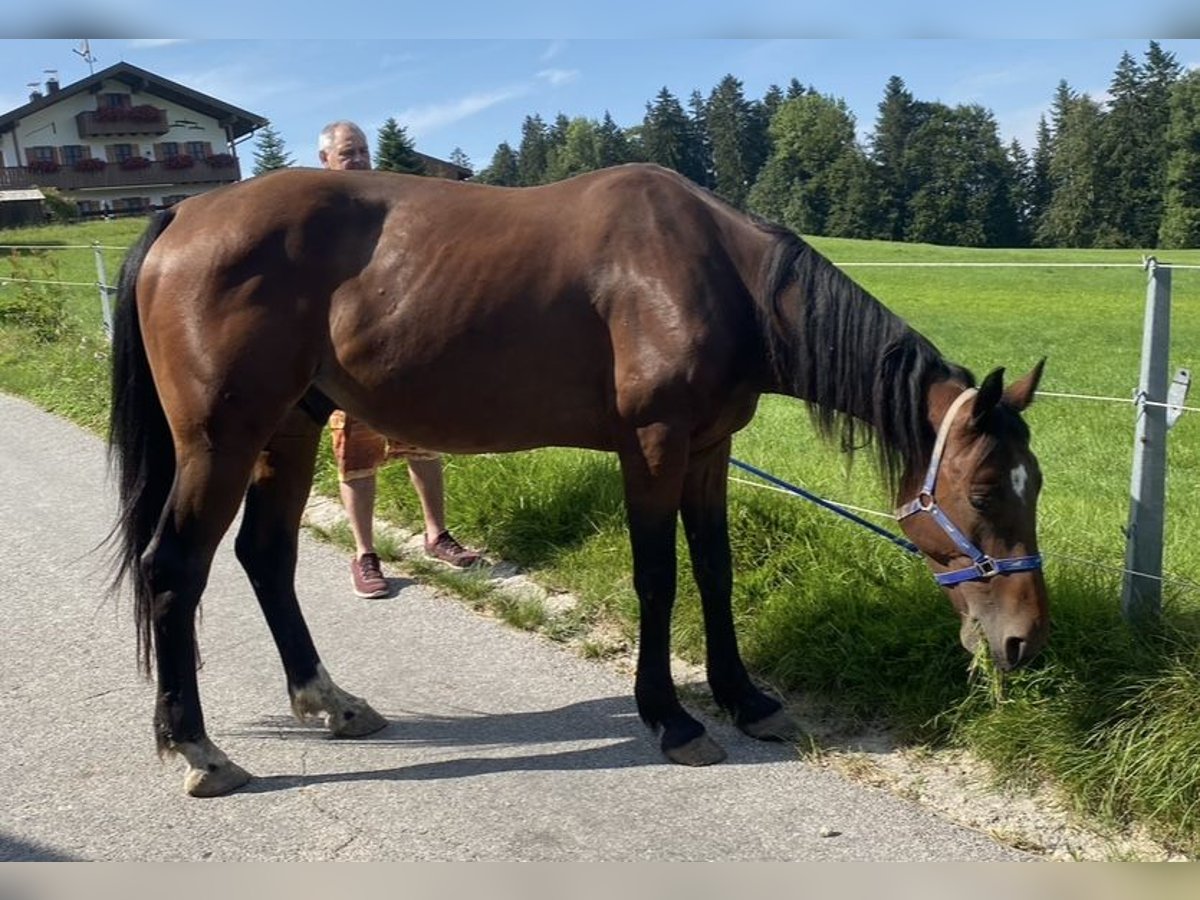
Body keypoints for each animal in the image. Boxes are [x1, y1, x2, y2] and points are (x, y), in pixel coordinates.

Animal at [112, 162, 1051, 796]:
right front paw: (672, 717)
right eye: (985, 491)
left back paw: (332, 702)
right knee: (174, 571)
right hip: (221, 443)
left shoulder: (709, 449)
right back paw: (199, 751)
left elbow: (715, 572)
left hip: (291, 428)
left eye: (1033, 484)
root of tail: (183, 213)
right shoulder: (654, 448)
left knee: (266, 556)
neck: (716, 274)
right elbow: (659, 578)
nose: (1025, 643)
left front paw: (745, 699)